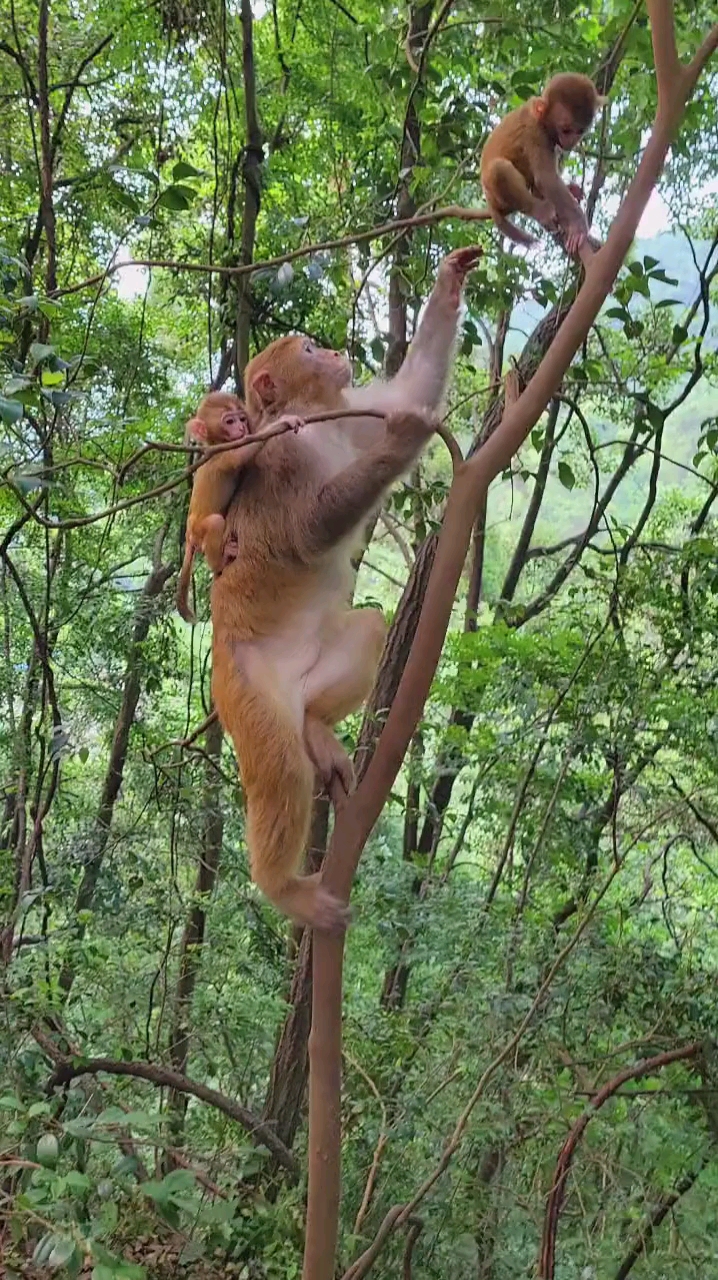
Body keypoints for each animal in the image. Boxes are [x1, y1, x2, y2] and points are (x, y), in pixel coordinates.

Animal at [177, 394, 303, 624]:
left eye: (242, 419)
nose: (241, 428)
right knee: (215, 522)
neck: (214, 445)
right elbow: (241, 454)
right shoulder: (222, 456)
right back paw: (219, 562)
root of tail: (189, 535)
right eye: (229, 421)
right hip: (199, 531)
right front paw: (281, 423)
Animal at [212, 244, 481, 936]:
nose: (334, 351)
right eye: (307, 350)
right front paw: (405, 441)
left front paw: (449, 281)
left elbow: (410, 388)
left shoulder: (348, 419)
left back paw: (316, 724)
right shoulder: (279, 454)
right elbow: (306, 532)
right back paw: (283, 888)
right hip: (248, 693)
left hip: (314, 666)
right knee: (281, 771)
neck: (315, 425)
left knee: (368, 627)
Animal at [481, 73, 604, 264]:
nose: (571, 142)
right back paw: (540, 209)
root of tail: (489, 201)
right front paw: (579, 226)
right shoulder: (535, 133)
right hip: (495, 194)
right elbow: (546, 178)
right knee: (498, 169)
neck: (541, 120)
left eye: (580, 131)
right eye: (566, 130)